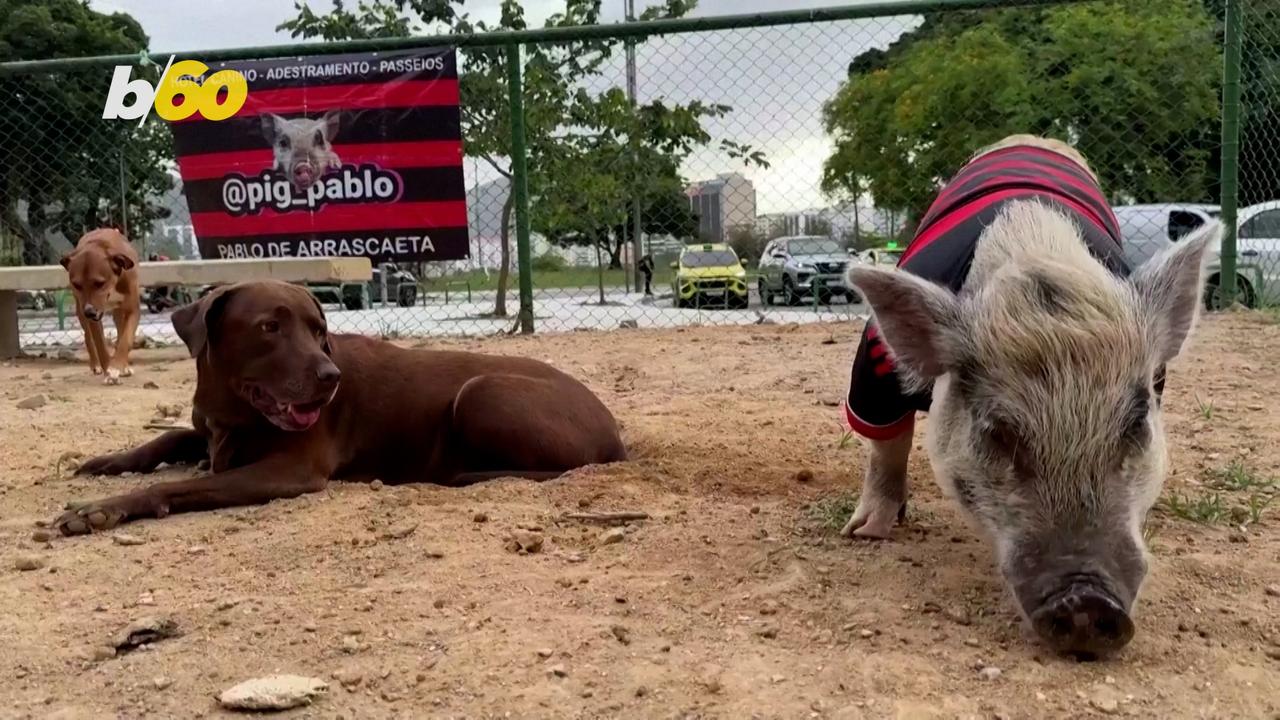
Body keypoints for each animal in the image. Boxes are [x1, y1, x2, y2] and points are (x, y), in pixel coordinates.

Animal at [55, 280, 624, 532]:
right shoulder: (209, 427)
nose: (331, 378)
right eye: (269, 327)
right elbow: (171, 435)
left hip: (480, 391)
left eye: (319, 329)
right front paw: (110, 462)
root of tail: (616, 433)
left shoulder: (290, 470)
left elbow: (181, 483)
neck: (231, 406)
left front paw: (102, 508)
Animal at [59, 228, 140, 384]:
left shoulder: (132, 310)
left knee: (120, 330)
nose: (89, 311)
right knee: (88, 337)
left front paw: (119, 366)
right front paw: (109, 370)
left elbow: (125, 339)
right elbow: (100, 344)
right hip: (80, 310)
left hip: (116, 312)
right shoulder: (92, 316)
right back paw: (96, 365)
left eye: (99, 283)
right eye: (77, 284)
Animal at [839, 133, 1218, 655]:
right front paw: (863, 533)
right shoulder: (876, 366)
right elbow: (885, 440)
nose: (1087, 599)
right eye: (996, 431)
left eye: (1137, 423)